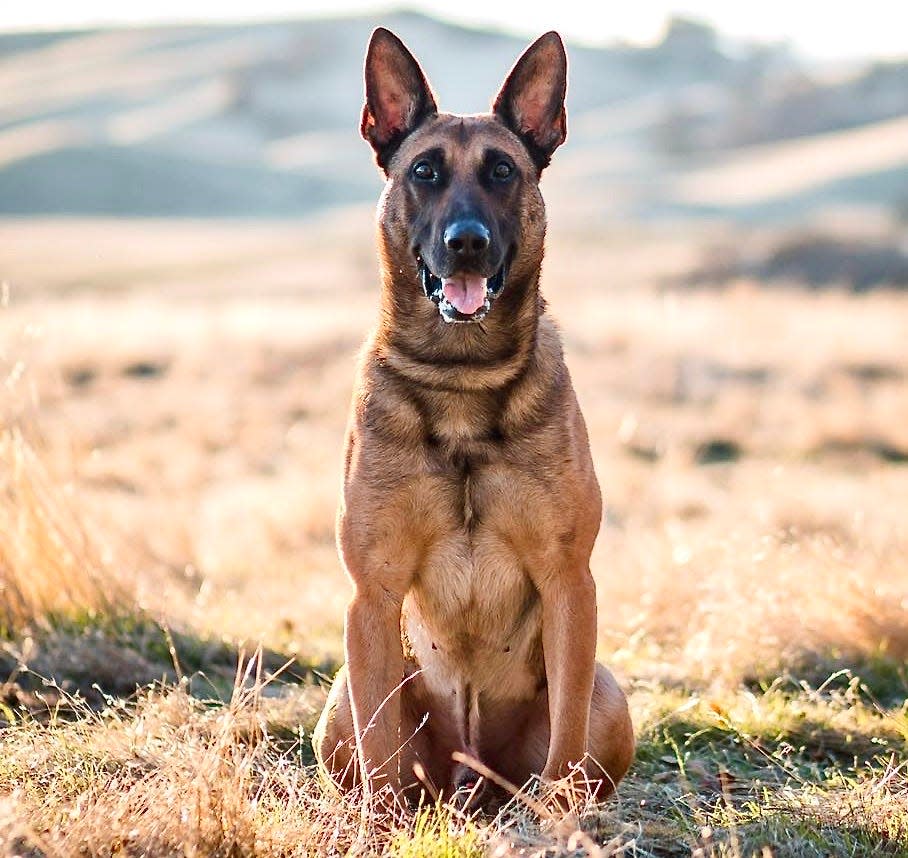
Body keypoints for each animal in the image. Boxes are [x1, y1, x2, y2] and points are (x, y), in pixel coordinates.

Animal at [312, 25, 632, 804]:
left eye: (502, 172)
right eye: (425, 171)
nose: (466, 242)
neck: (462, 377)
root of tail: (470, 774)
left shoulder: (569, 582)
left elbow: (566, 737)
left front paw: (560, 817)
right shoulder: (371, 594)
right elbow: (380, 751)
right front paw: (381, 823)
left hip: (611, 695)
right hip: (339, 697)